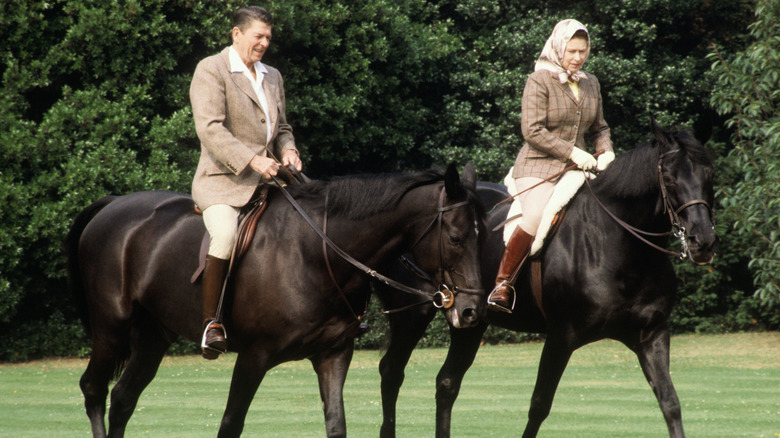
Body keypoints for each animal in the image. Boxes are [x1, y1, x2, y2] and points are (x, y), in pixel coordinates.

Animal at [67, 163, 484, 436]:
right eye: (455, 237)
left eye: (479, 234)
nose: (470, 311)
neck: (315, 253)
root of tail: (113, 204)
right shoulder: (253, 357)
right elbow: (230, 424)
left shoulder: (333, 355)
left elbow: (336, 424)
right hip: (111, 330)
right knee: (94, 390)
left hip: (153, 337)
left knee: (122, 399)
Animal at [374, 120, 716, 438]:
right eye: (669, 179)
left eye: (709, 175)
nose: (703, 242)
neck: (619, 245)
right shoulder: (561, 337)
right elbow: (539, 405)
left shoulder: (651, 335)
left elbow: (670, 402)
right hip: (413, 314)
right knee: (391, 371)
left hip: (470, 320)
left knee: (447, 383)